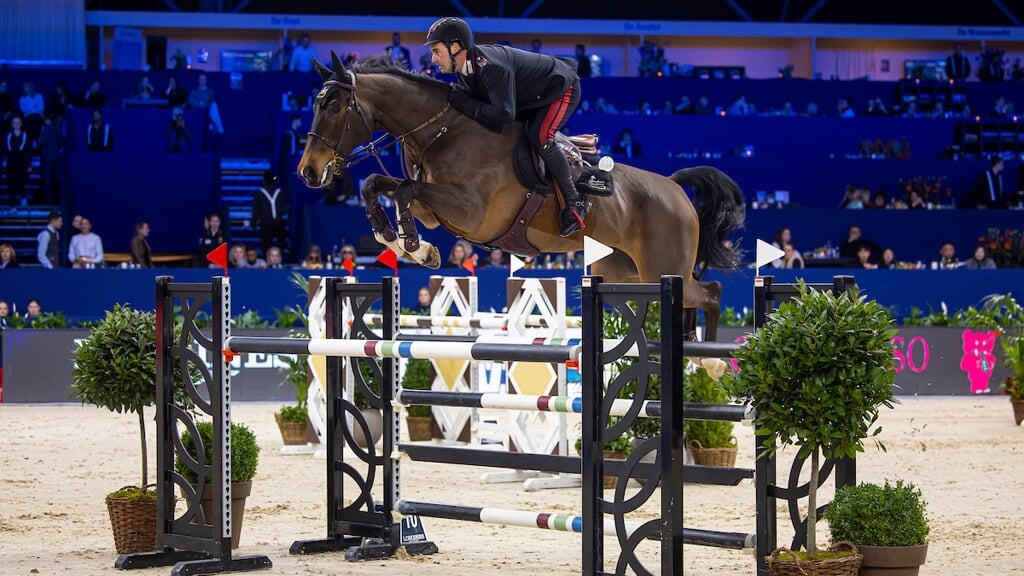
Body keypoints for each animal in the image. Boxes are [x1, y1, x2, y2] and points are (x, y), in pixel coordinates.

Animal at [296, 52, 745, 340]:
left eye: (334, 107)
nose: (308, 172)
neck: (444, 131)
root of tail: (674, 187)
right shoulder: (433, 209)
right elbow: (379, 185)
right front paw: (404, 242)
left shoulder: (472, 212)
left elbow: (402, 188)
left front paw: (414, 248)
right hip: (623, 271)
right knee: (694, 297)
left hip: (661, 269)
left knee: (710, 294)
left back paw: (711, 362)